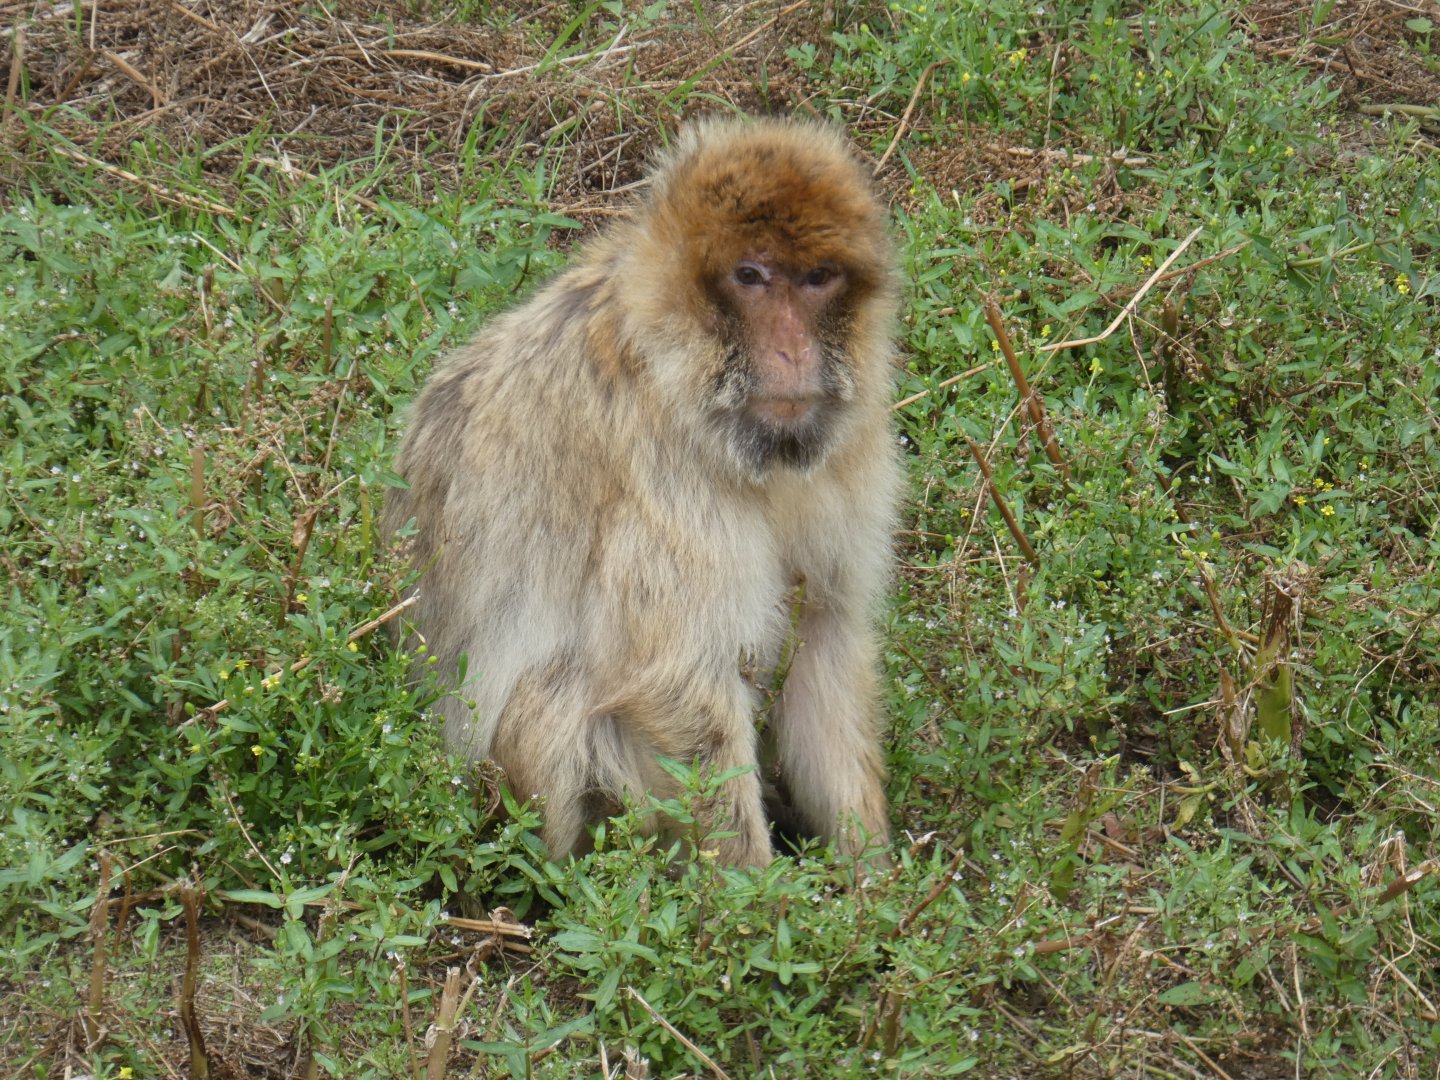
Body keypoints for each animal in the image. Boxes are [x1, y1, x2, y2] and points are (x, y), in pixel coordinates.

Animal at [381, 115, 901, 868]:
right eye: (751, 277)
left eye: (816, 279)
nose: (793, 353)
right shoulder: (657, 473)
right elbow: (679, 689)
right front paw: (762, 896)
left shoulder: (847, 449)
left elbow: (825, 640)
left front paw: (874, 881)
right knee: (556, 700)